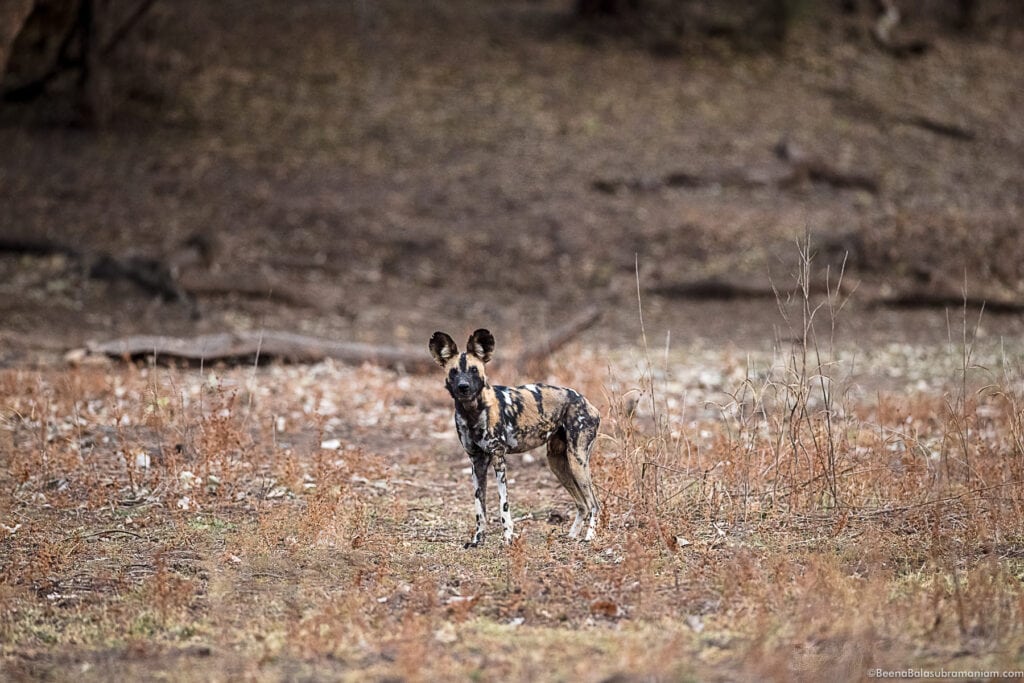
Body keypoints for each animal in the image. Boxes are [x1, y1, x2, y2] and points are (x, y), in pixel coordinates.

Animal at [430, 327, 602, 548]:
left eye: (474, 370)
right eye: (453, 372)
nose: (463, 386)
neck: (472, 412)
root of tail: (586, 401)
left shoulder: (498, 459)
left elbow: (503, 506)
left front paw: (508, 539)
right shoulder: (477, 463)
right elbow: (479, 508)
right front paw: (478, 540)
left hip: (577, 461)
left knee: (594, 504)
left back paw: (589, 537)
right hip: (557, 463)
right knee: (582, 504)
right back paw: (572, 536)